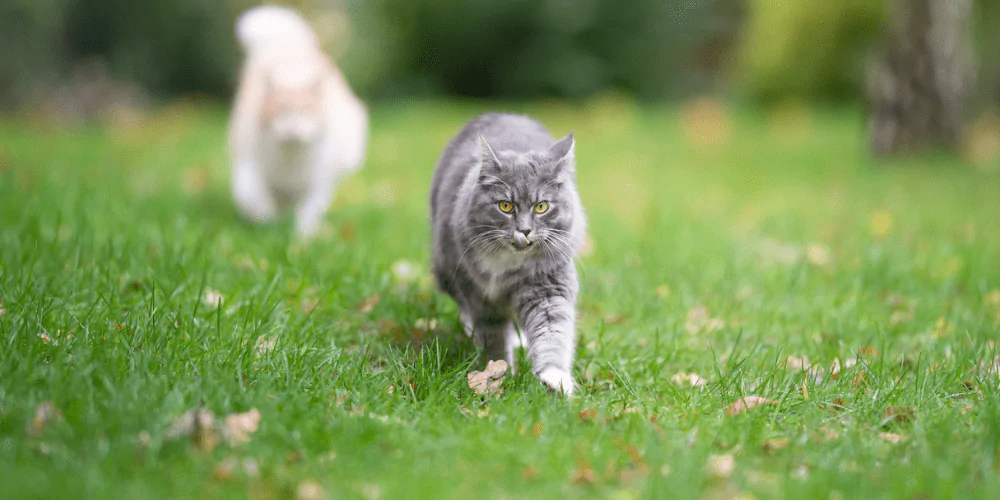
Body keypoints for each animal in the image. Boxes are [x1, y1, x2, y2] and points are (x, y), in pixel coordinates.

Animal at [228, 5, 368, 236]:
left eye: (306, 113)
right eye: (281, 113)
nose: (292, 130)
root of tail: (289, 45)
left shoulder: (318, 183)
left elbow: (307, 215)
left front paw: (302, 238)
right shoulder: (250, 170)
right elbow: (256, 201)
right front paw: (270, 226)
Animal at [430, 113, 584, 394]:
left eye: (541, 206)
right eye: (505, 206)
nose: (524, 230)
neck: (510, 265)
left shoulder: (548, 286)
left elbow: (552, 332)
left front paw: (555, 379)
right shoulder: (478, 294)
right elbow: (492, 335)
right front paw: (497, 372)